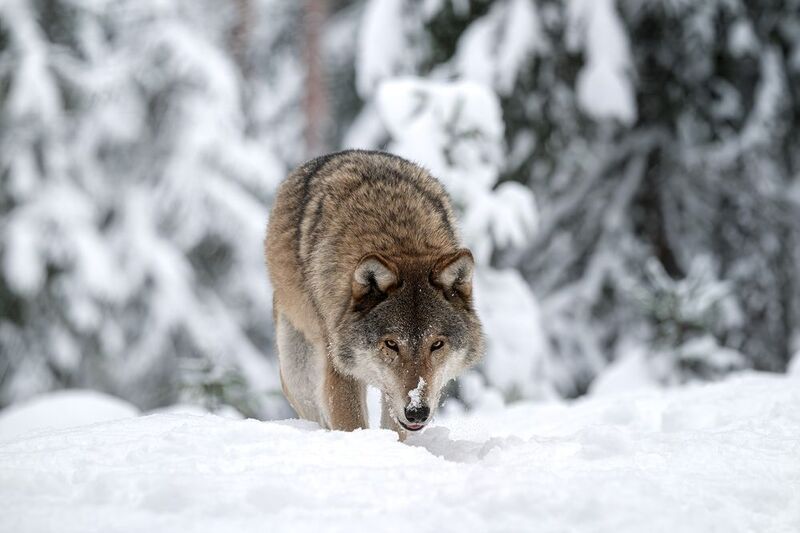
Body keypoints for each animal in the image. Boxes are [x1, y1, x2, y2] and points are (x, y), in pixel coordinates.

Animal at [264, 150, 484, 437]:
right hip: (297, 371)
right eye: (391, 344)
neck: (399, 240)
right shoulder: (339, 368)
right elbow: (351, 424)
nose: (417, 411)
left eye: (436, 344)